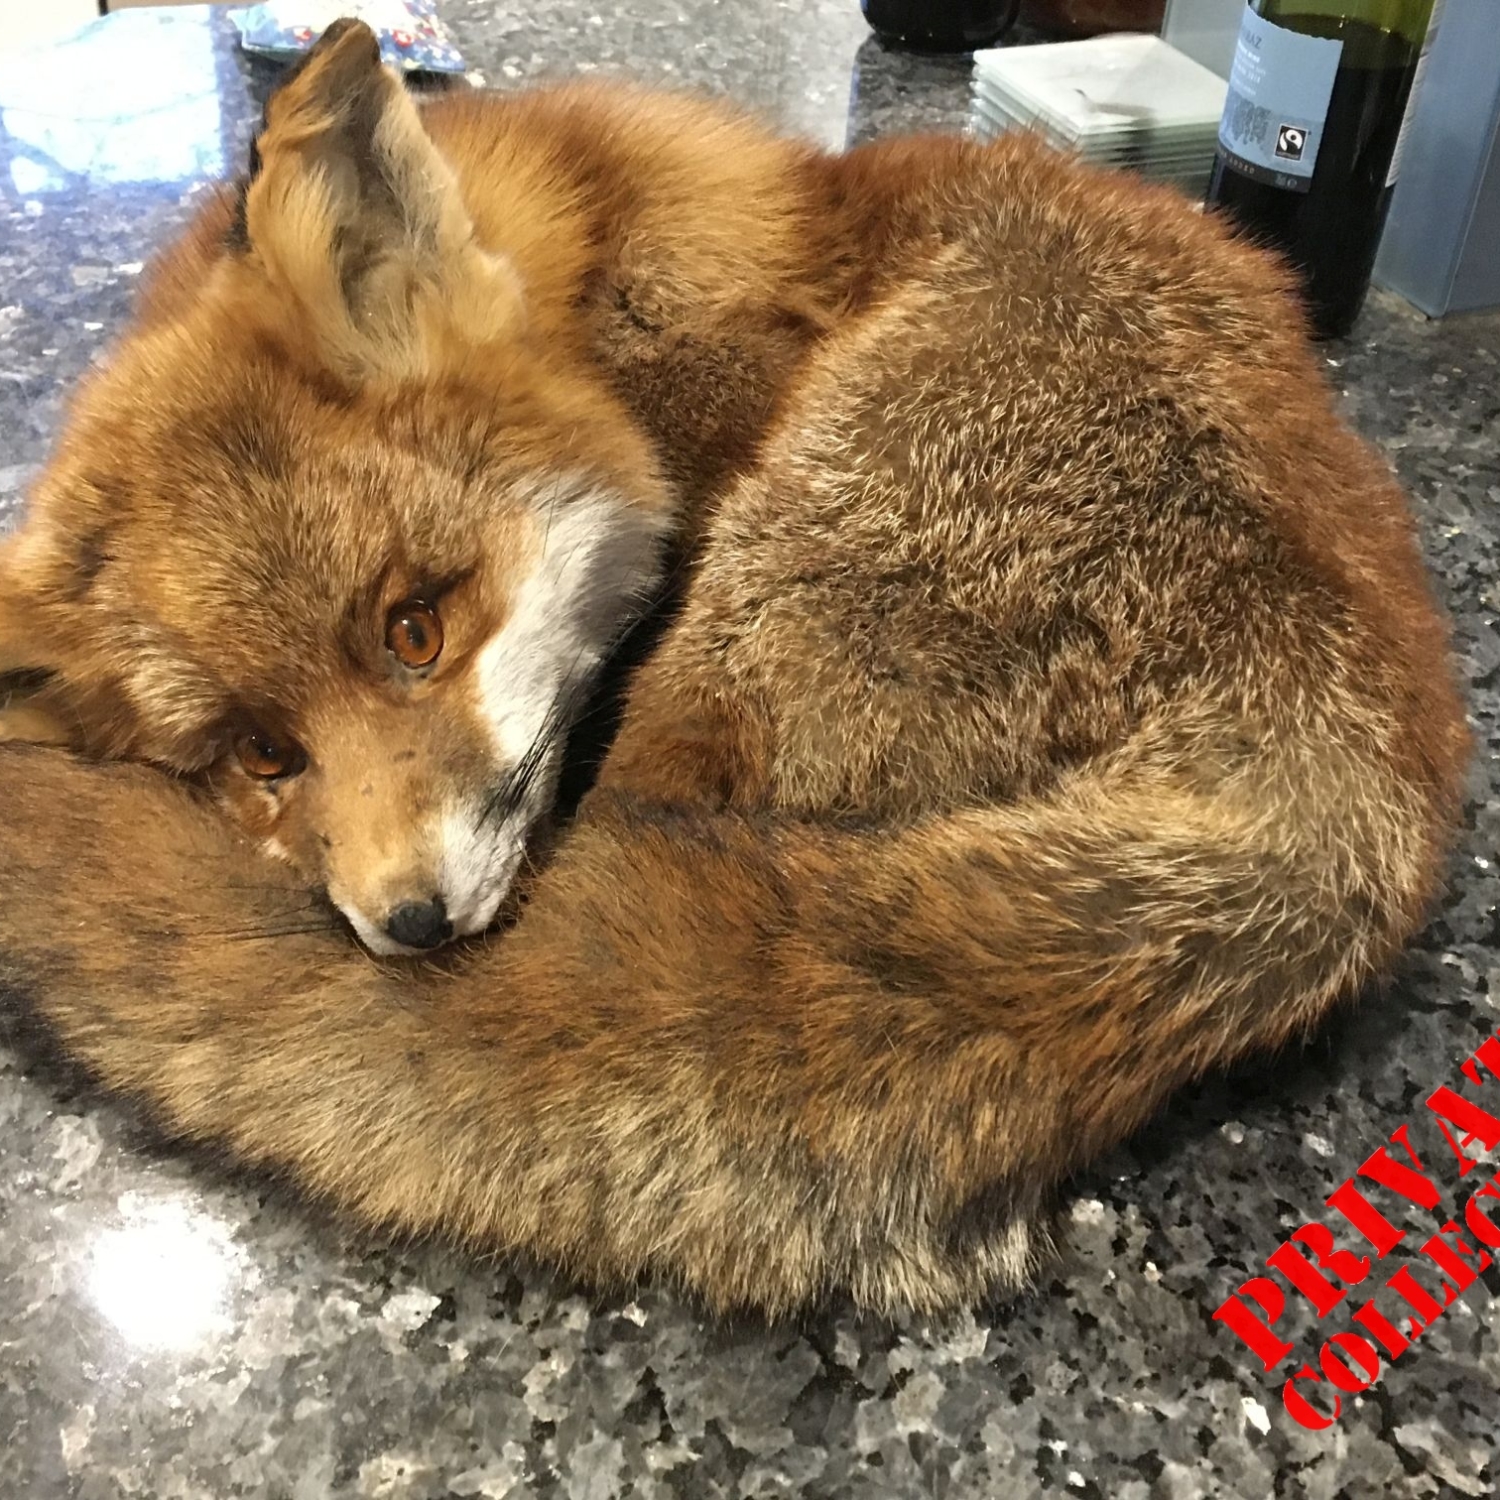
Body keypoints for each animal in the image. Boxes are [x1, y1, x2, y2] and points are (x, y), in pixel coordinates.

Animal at [0, 19, 1471, 1314]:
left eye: (415, 628)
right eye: (261, 756)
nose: (406, 923)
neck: (596, 291)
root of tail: (1361, 772)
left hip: (744, 622)